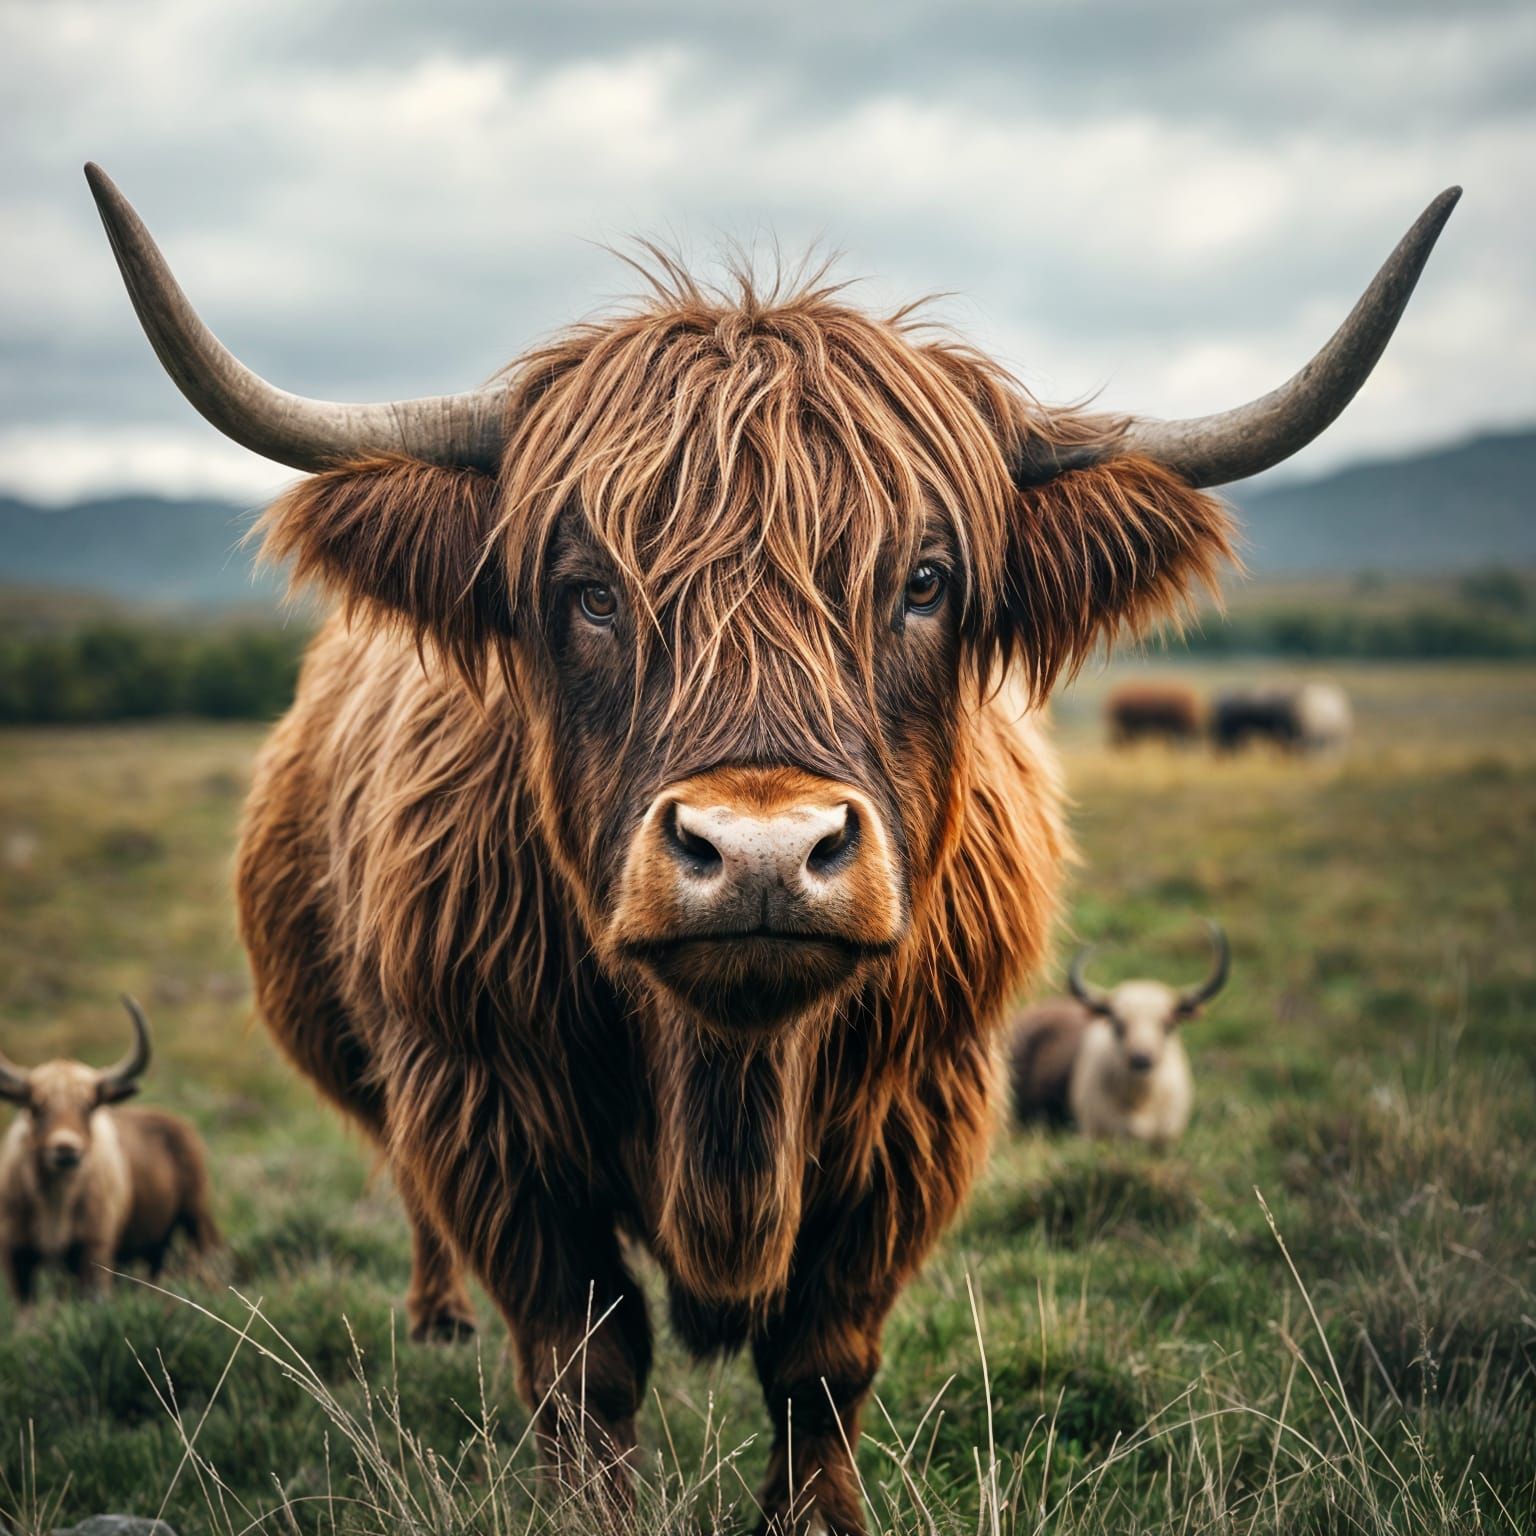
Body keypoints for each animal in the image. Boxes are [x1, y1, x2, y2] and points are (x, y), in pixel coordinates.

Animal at [84, 162, 1456, 1534]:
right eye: (588, 591)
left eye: (924, 582)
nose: (760, 852)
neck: (729, 1076)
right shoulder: (484, 1097)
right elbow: (583, 1360)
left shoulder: (920, 1109)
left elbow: (821, 1358)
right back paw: (434, 1321)